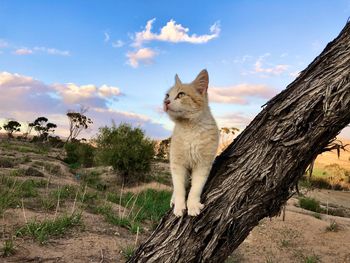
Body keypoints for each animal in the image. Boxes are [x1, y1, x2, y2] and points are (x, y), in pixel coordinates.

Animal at [164, 69, 219, 217]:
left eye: (181, 94)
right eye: (167, 95)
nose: (166, 102)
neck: (189, 128)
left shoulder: (203, 165)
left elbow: (196, 188)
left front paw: (192, 205)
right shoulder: (177, 164)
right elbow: (179, 188)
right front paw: (179, 206)